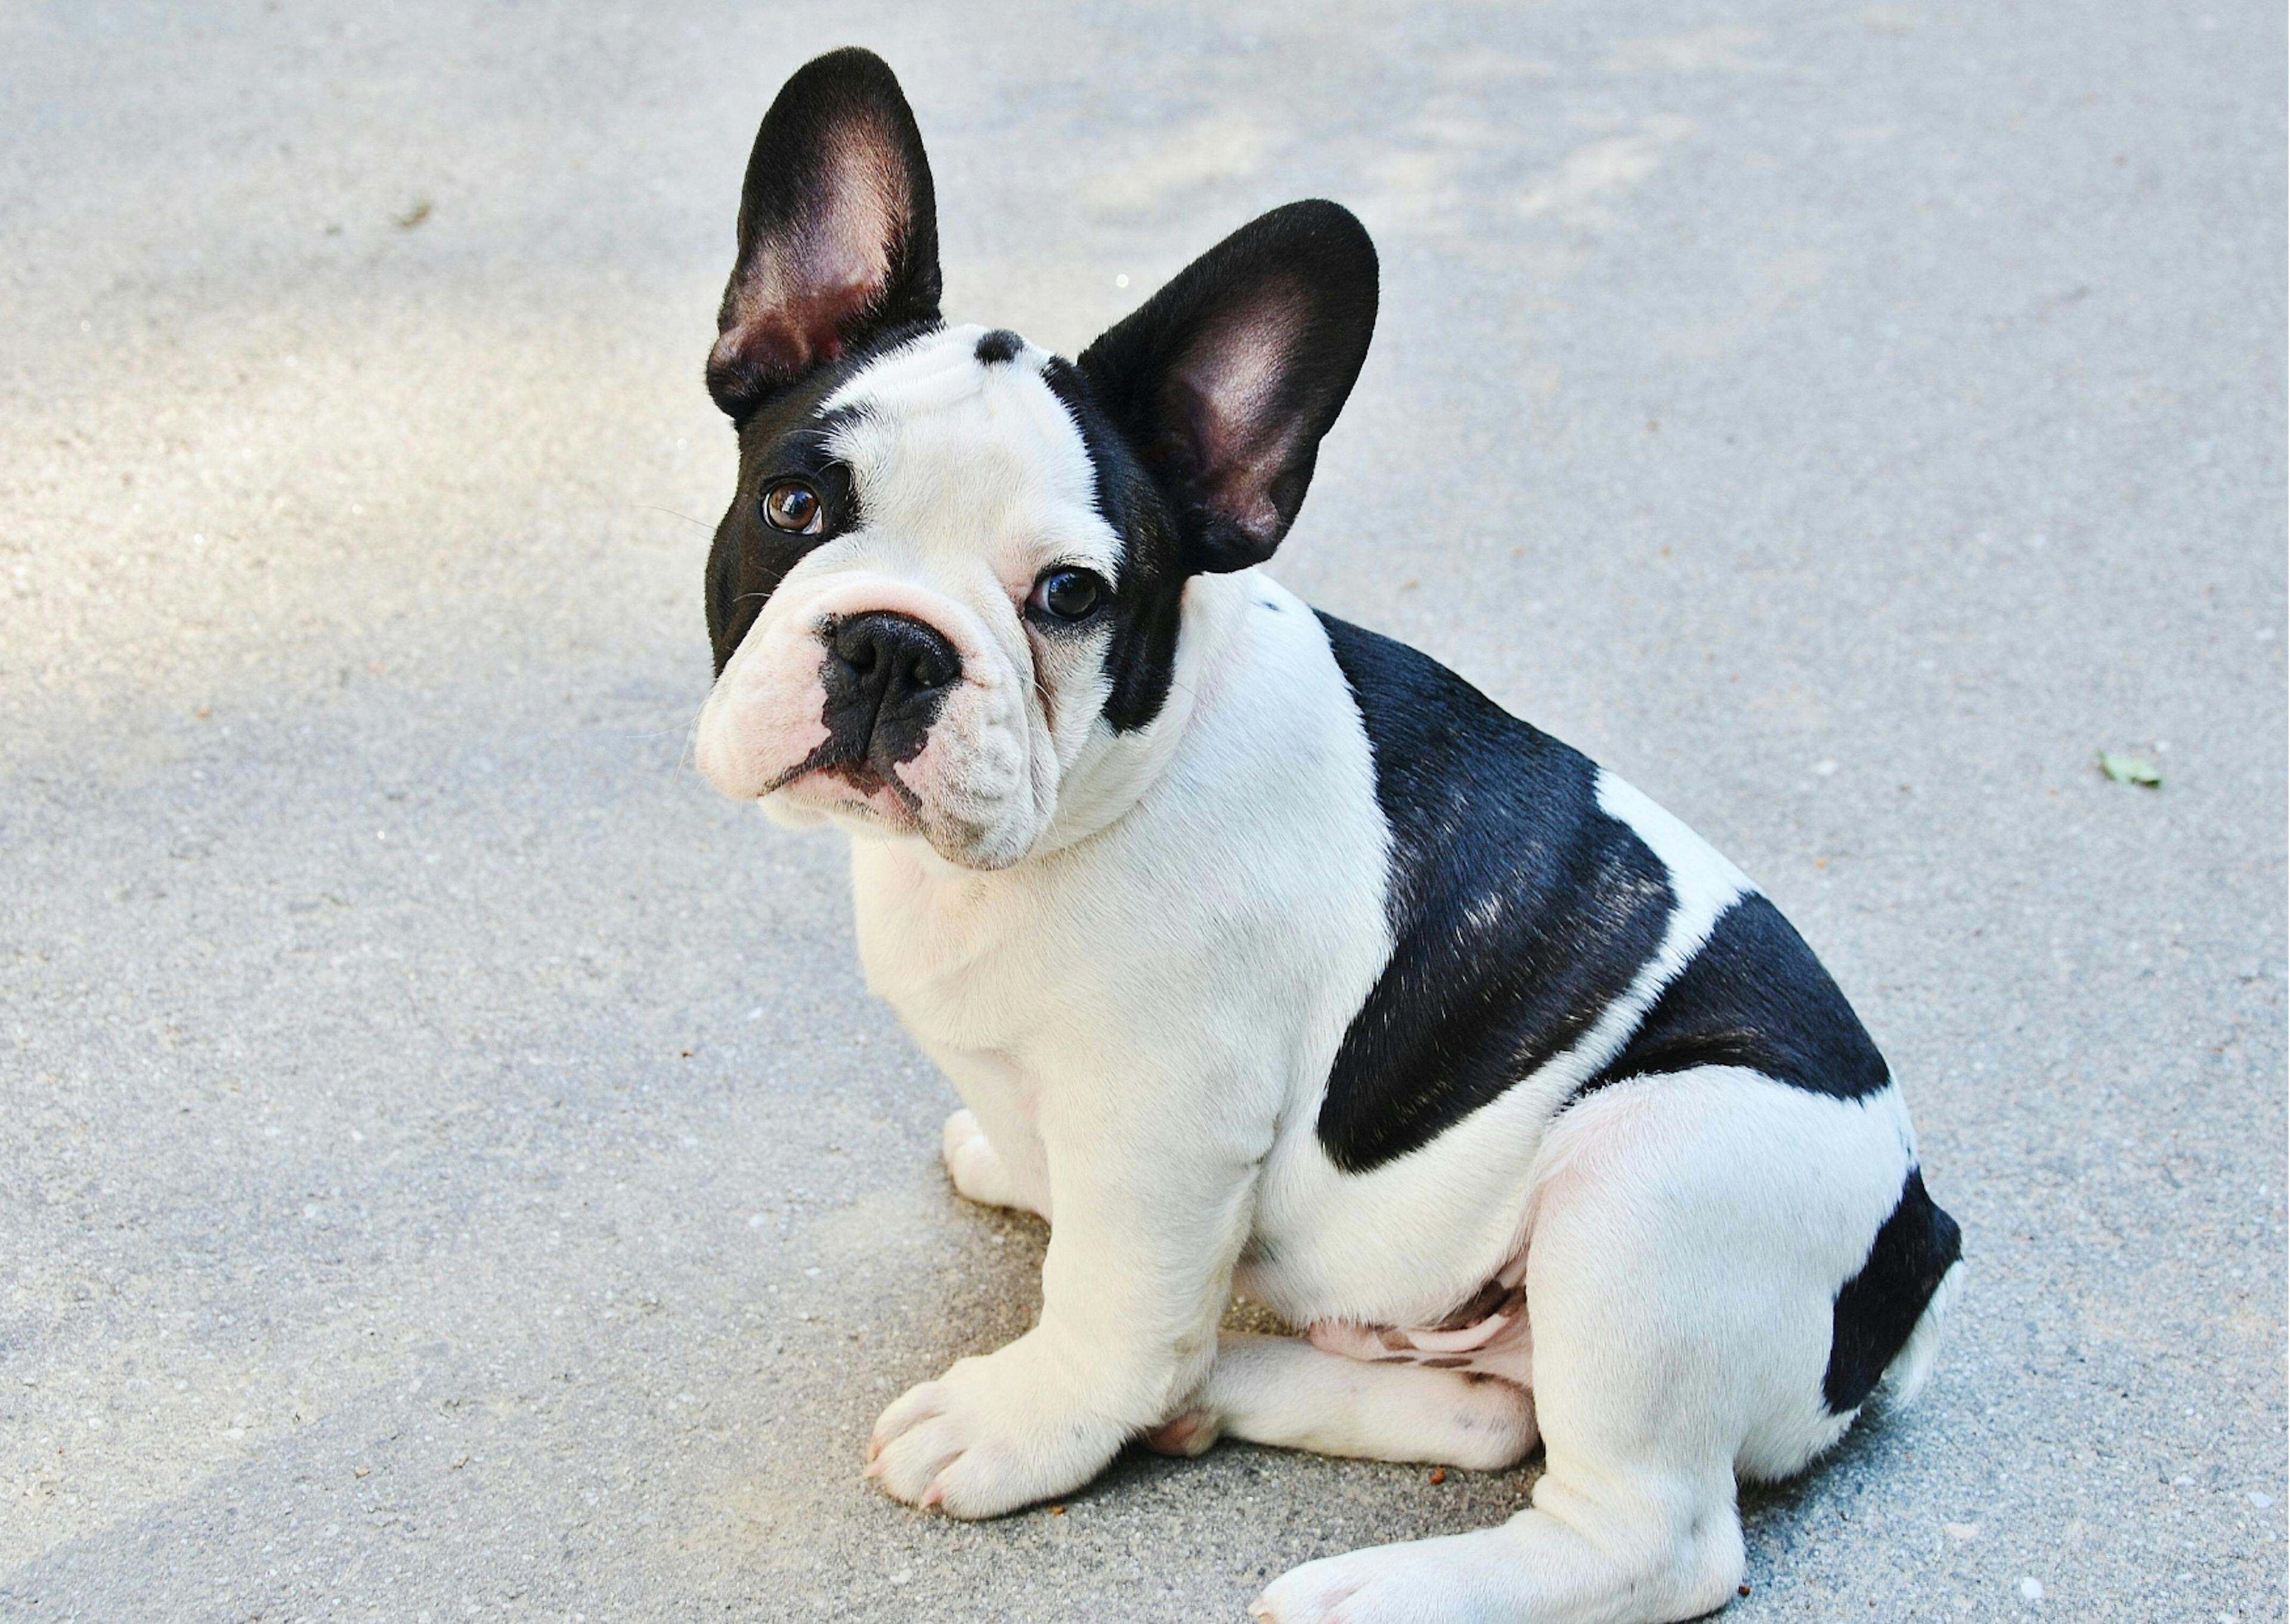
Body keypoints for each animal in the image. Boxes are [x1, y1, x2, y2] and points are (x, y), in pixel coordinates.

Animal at [696, 51, 1969, 1622]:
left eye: (1069, 595)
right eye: (794, 503)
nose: (891, 643)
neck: (1104, 788)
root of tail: (1918, 1250)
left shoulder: (1164, 1127)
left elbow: (1112, 1301)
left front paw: (1023, 1418)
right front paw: (1015, 1167)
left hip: (1658, 1177)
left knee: (1649, 1533)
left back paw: (1377, 1584)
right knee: (1489, 1415)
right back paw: (1229, 1390)